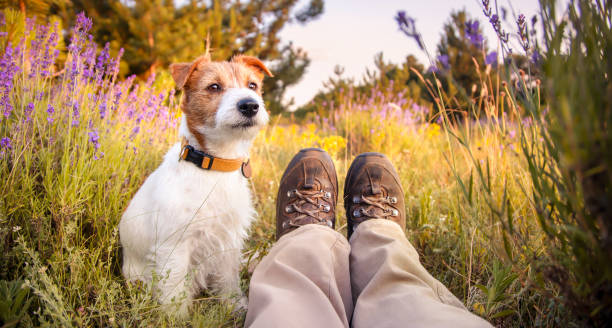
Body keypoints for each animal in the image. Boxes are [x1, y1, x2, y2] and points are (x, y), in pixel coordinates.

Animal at [118, 52, 272, 316]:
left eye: (252, 85)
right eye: (214, 86)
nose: (250, 105)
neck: (216, 164)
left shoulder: (228, 240)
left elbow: (227, 279)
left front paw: (235, 305)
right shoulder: (175, 246)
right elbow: (173, 290)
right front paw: (175, 318)